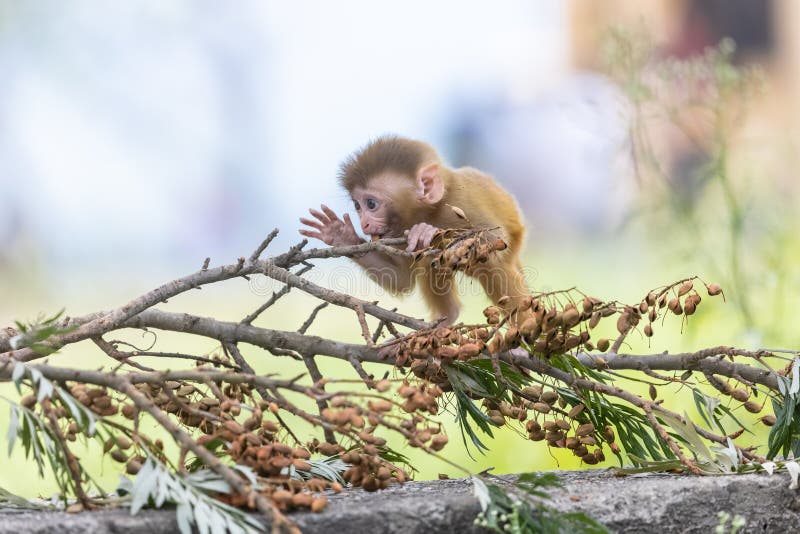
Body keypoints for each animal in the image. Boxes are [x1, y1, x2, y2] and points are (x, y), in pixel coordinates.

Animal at [299, 135, 529, 324]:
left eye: (371, 204)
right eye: (357, 206)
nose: (364, 223)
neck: (431, 210)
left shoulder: (463, 202)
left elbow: (495, 240)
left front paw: (426, 231)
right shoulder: (400, 231)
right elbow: (400, 279)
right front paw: (341, 235)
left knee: (492, 264)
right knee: (429, 259)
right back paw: (446, 318)